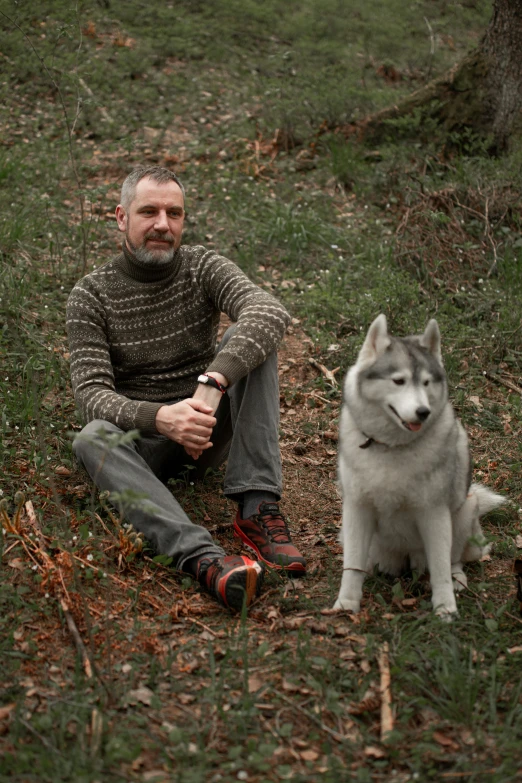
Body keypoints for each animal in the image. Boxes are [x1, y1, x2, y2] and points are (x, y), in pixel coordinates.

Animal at [334, 314, 504, 620]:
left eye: (426, 383)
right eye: (398, 381)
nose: (423, 412)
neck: (392, 447)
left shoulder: (433, 514)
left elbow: (440, 568)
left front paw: (445, 608)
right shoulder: (357, 509)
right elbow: (351, 566)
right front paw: (346, 604)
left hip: (465, 510)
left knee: (454, 560)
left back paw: (458, 578)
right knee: (366, 560)